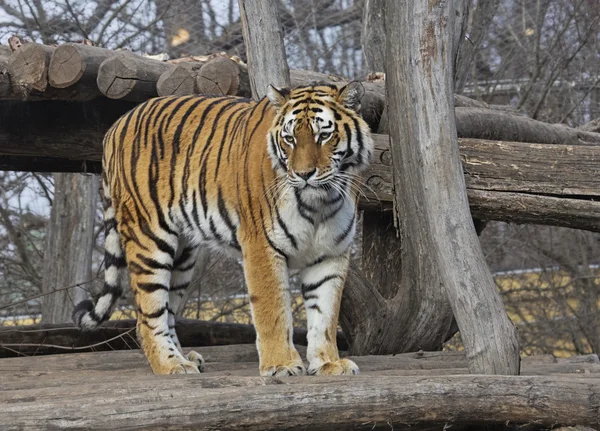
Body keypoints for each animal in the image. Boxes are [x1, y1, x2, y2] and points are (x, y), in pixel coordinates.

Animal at [72, 82, 372, 378]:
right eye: (289, 139)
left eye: (324, 135)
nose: (304, 174)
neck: (321, 202)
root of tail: (116, 125)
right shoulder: (261, 245)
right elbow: (273, 310)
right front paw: (281, 365)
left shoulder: (330, 253)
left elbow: (325, 315)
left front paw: (328, 363)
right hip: (149, 238)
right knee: (148, 316)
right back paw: (171, 365)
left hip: (182, 254)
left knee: (168, 309)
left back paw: (186, 358)